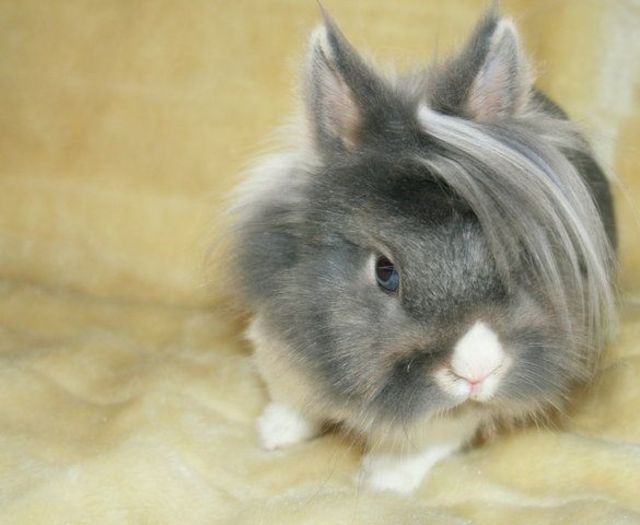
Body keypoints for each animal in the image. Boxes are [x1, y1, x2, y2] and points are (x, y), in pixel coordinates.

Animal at [227, 8, 617, 494]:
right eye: (385, 271)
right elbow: (293, 402)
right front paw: (274, 434)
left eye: (518, 250)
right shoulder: (279, 351)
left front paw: (383, 479)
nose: (477, 371)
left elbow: (431, 439)